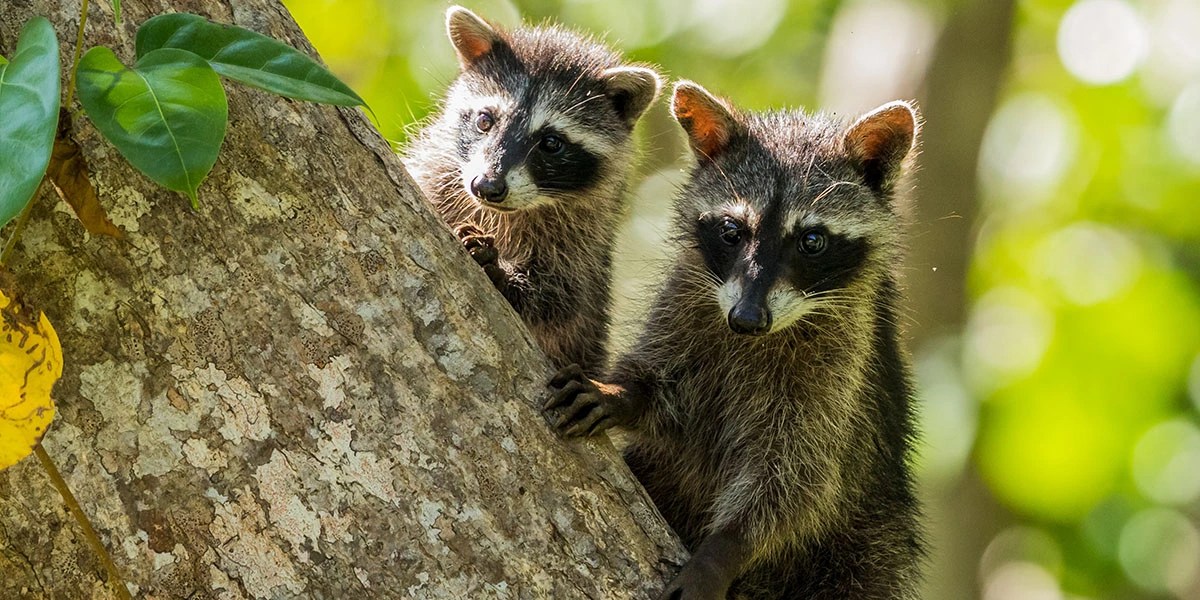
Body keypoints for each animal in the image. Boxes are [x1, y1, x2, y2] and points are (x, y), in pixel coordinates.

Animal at [403, 6, 661, 373]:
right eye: (485, 120)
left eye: (551, 143)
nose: (487, 186)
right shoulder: (438, 173)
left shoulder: (584, 237)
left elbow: (562, 297)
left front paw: (502, 272)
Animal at [546, 81, 924, 599]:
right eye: (732, 230)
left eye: (811, 240)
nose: (746, 320)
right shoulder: (688, 300)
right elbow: (665, 382)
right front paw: (622, 392)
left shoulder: (842, 364)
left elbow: (797, 475)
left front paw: (726, 548)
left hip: (870, 540)